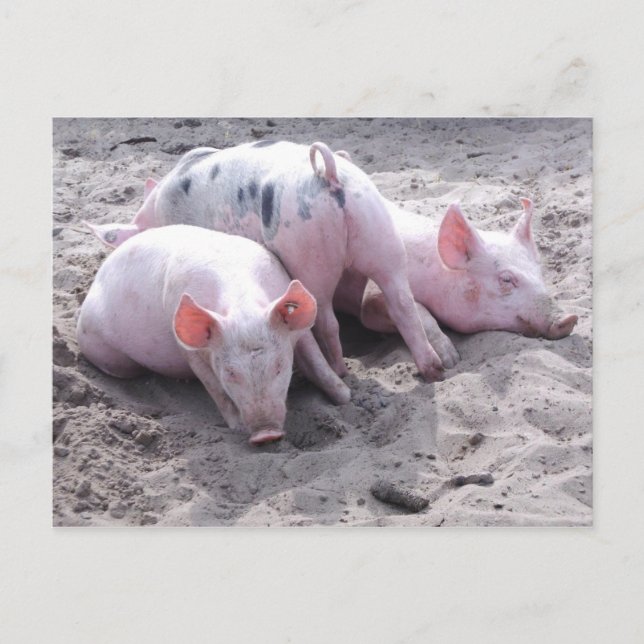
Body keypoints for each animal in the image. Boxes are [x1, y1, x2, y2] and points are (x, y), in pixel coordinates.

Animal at [77, 225, 351, 444]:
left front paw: (345, 396)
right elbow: (213, 387)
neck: (242, 308)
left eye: (280, 366)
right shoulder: (189, 350)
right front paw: (238, 428)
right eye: (230, 372)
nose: (266, 434)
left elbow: (317, 362)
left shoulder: (296, 327)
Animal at [85, 141, 445, 382]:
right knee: (403, 304)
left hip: (306, 253)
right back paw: (432, 370)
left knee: (326, 319)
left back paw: (341, 372)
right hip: (379, 233)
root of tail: (327, 174)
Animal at [333, 198, 578, 365]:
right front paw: (451, 359)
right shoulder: (374, 293)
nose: (569, 318)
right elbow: (417, 312)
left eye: (539, 271)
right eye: (506, 279)